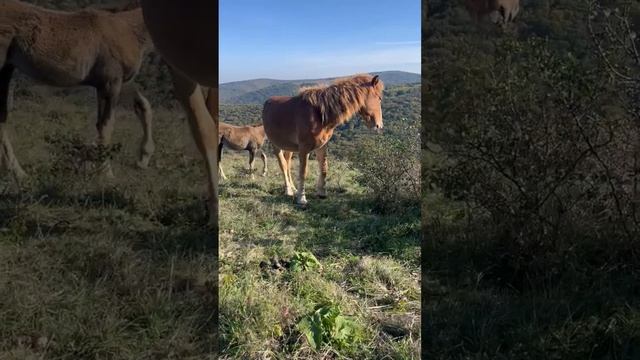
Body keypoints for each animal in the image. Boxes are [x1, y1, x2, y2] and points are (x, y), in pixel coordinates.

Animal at [0, 0, 155, 180]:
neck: (126, 27)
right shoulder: (111, 83)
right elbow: (106, 125)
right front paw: (106, 174)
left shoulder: (117, 83)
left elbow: (143, 106)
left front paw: (143, 160)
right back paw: (19, 173)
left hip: (7, 69)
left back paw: (17, 173)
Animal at [262, 73, 382, 205]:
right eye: (379, 98)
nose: (379, 125)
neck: (319, 113)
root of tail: (268, 101)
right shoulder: (304, 149)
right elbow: (303, 172)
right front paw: (302, 198)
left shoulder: (322, 145)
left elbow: (324, 168)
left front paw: (321, 192)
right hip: (276, 145)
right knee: (283, 165)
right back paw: (288, 190)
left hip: (289, 147)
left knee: (287, 165)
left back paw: (293, 188)